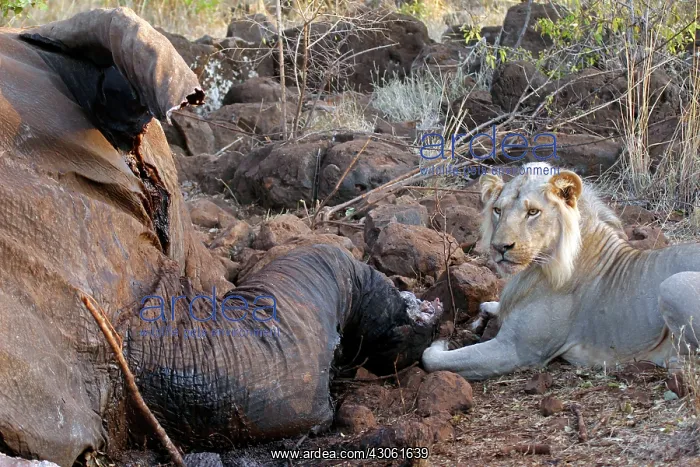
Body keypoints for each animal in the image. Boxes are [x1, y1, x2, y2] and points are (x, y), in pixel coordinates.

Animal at [422, 162, 700, 380]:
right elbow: (490, 305)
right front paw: (483, 317)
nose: (500, 247)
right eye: (498, 210)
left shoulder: (517, 351)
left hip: (672, 284)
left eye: (533, 212)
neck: (534, 269)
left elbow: (431, 359)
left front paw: (441, 340)